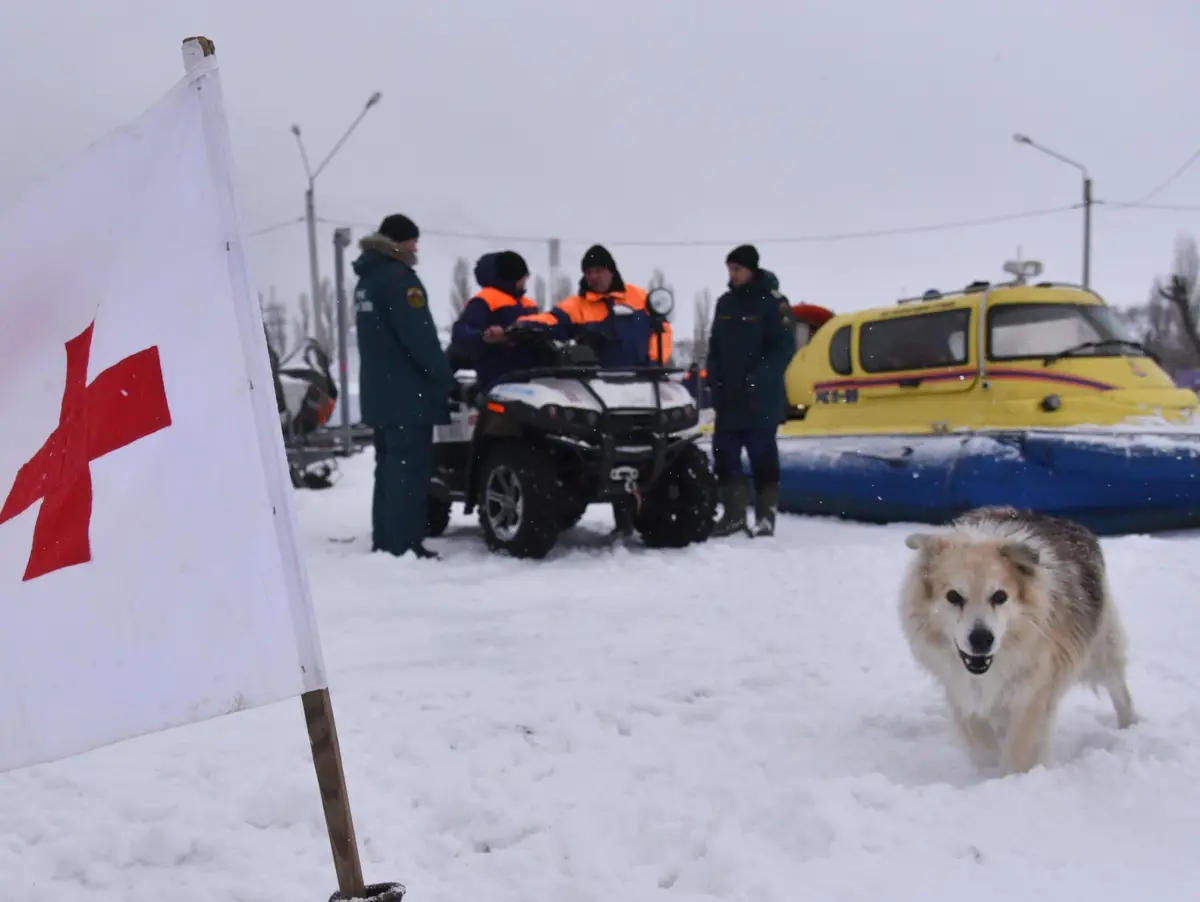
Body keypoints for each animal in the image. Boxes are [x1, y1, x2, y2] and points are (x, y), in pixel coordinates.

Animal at [902, 508, 1132, 777]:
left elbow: (1019, 752)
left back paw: (1131, 727)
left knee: (1120, 692)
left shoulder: (1032, 695)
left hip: (1101, 652)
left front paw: (1011, 779)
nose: (982, 639)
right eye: (953, 596)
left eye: (999, 596)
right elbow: (982, 742)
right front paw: (989, 771)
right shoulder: (961, 690)